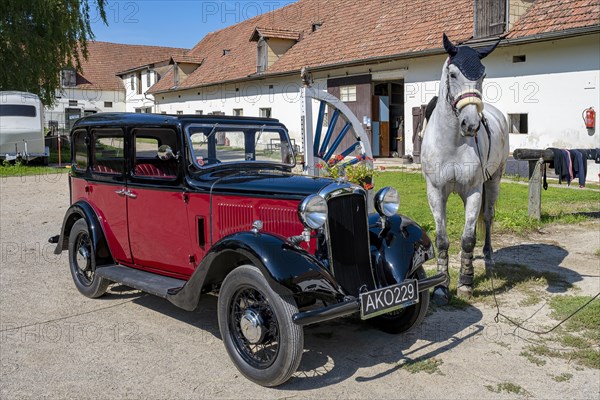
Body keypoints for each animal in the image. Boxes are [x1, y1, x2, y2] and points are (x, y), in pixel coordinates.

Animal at [420, 34, 508, 304]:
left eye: (483, 75)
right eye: (453, 74)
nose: (471, 124)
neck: (452, 143)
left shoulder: (473, 192)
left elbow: (468, 239)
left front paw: (466, 284)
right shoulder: (436, 192)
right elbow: (442, 239)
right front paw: (441, 287)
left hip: (494, 181)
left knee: (488, 217)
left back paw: (489, 258)